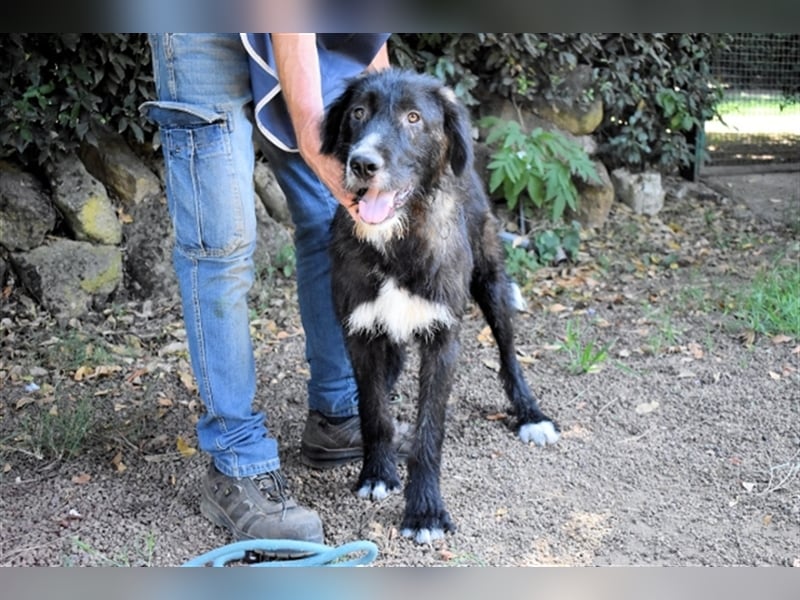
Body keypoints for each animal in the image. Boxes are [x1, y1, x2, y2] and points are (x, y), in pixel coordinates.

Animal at [322, 69, 560, 544]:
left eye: (413, 117)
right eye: (357, 112)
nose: (362, 164)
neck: (397, 243)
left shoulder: (443, 336)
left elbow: (430, 431)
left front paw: (425, 511)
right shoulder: (359, 331)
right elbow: (373, 412)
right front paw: (378, 473)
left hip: (491, 282)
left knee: (509, 357)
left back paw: (530, 413)